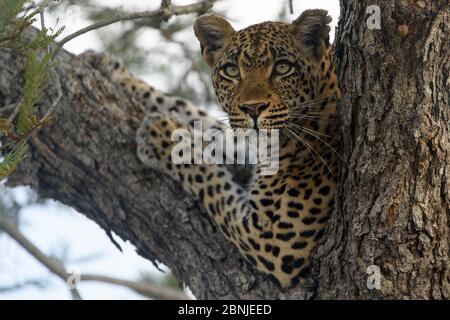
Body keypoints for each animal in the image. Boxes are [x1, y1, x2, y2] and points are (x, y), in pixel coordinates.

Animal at [96, 9, 342, 288]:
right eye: (232, 71)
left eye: (282, 68)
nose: (253, 108)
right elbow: (195, 117)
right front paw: (110, 68)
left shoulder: (275, 242)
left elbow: (208, 178)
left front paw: (160, 134)